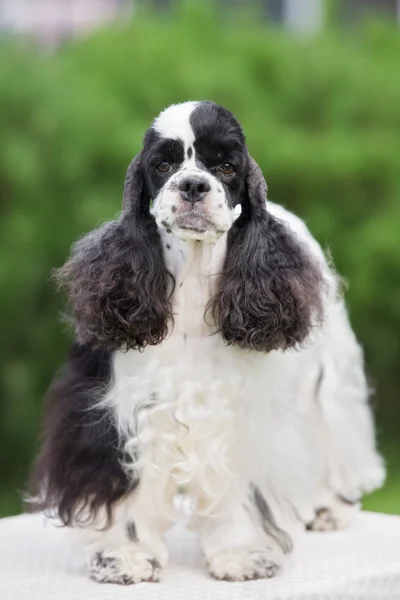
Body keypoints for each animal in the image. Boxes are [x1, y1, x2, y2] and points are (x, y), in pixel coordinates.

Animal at [28, 101, 384, 584]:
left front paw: (242, 555)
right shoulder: (120, 407)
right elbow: (127, 486)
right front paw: (124, 555)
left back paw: (329, 508)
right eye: (162, 165)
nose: (194, 184)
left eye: (227, 166)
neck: (194, 282)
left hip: (328, 382)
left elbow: (240, 488)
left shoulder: (243, 416)